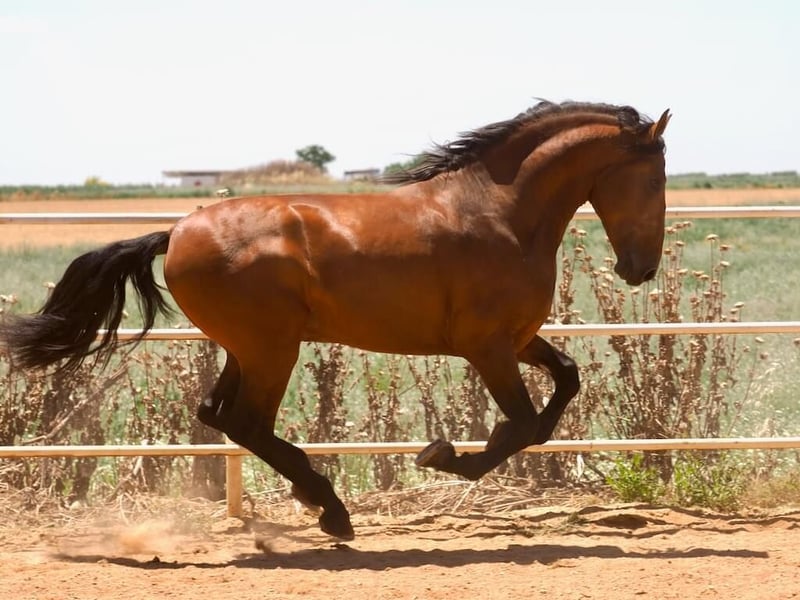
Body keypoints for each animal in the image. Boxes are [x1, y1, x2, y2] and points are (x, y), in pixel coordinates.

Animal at [0, 100, 670, 540]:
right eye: (654, 178)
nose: (641, 268)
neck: (499, 214)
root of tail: (177, 231)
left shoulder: (519, 339)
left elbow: (565, 385)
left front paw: (450, 452)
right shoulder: (487, 346)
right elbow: (526, 423)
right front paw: (441, 455)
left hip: (246, 349)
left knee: (217, 414)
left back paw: (318, 501)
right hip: (272, 349)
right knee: (245, 422)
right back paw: (332, 510)